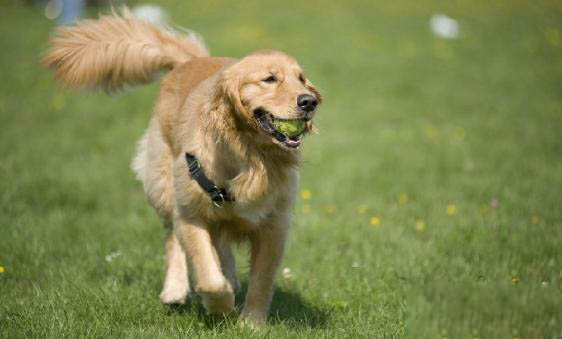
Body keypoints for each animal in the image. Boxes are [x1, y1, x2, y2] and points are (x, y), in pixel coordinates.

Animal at [42, 8, 320, 326]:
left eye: (301, 78)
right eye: (270, 79)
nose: (310, 101)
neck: (249, 156)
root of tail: (188, 61)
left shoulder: (274, 224)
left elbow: (261, 280)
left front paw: (251, 323)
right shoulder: (192, 212)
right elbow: (207, 273)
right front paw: (220, 306)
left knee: (220, 244)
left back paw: (230, 277)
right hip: (164, 184)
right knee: (173, 236)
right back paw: (175, 290)